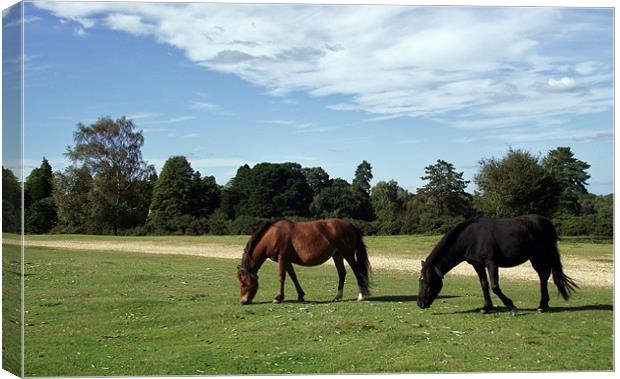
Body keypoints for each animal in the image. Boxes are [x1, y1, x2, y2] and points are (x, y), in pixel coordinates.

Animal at [236, 220, 372, 306]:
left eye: (243, 283)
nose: (243, 301)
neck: (272, 236)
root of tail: (350, 225)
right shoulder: (287, 260)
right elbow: (293, 276)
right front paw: (300, 295)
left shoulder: (282, 258)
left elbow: (282, 277)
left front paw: (278, 298)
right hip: (337, 255)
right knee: (342, 273)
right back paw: (337, 296)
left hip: (347, 254)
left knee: (356, 272)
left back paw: (361, 296)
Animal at [416, 215, 576, 316]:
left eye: (428, 281)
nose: (420, 304)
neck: (471, 238)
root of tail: (546, 222)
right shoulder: (478, 265)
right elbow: (484, 285)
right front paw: (486, 308)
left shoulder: (491, 263)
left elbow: (495, 286)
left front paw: (512, 307)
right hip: (535, 257)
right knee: (544, 277)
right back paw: (544, 305)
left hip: (539, 256)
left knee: (543, 277)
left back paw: (542, 306)